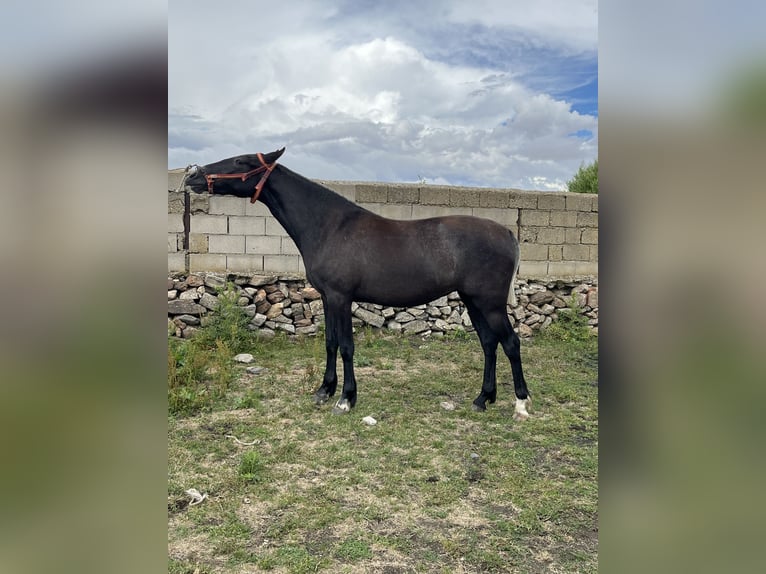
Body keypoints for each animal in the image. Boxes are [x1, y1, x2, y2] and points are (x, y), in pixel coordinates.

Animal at [185, 147, 532, 424]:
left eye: (240, 161)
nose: (193, 175)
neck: (330, 226)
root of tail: (508, 234)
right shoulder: (328, 298)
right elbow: (330, 343)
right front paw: (324, 391)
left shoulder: (341, 297)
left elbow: (347, 347)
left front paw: (345, 399)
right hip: (472, 300)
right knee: (489, 343)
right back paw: (483, 399)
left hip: (489, 303)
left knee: (510, 343)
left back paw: (521, 404)